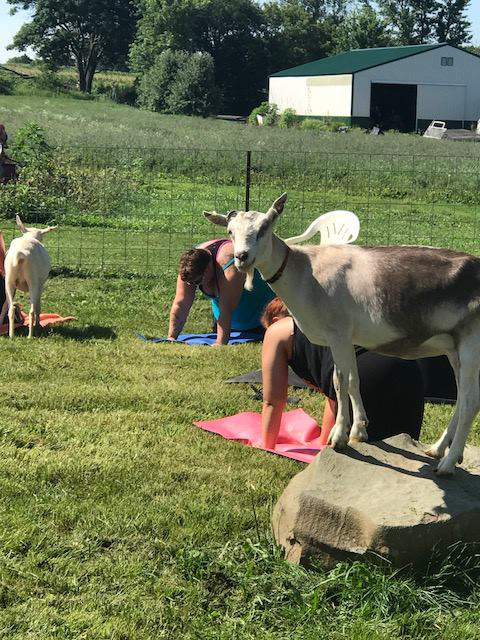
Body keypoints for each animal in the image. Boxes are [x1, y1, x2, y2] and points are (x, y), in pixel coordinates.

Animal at [206, 194, 480, 476]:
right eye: (230, 231)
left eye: (264, 228)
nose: (242, 257)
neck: (305, 273)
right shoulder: (347, 338)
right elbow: (353, 380)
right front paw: (359, 430)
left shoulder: (337, 333)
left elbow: (340, 381)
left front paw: (338, 437)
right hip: (454, 349)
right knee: (464, 397)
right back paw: (438, 449)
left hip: (472, 343)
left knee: (470, 401)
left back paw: (448, 463)